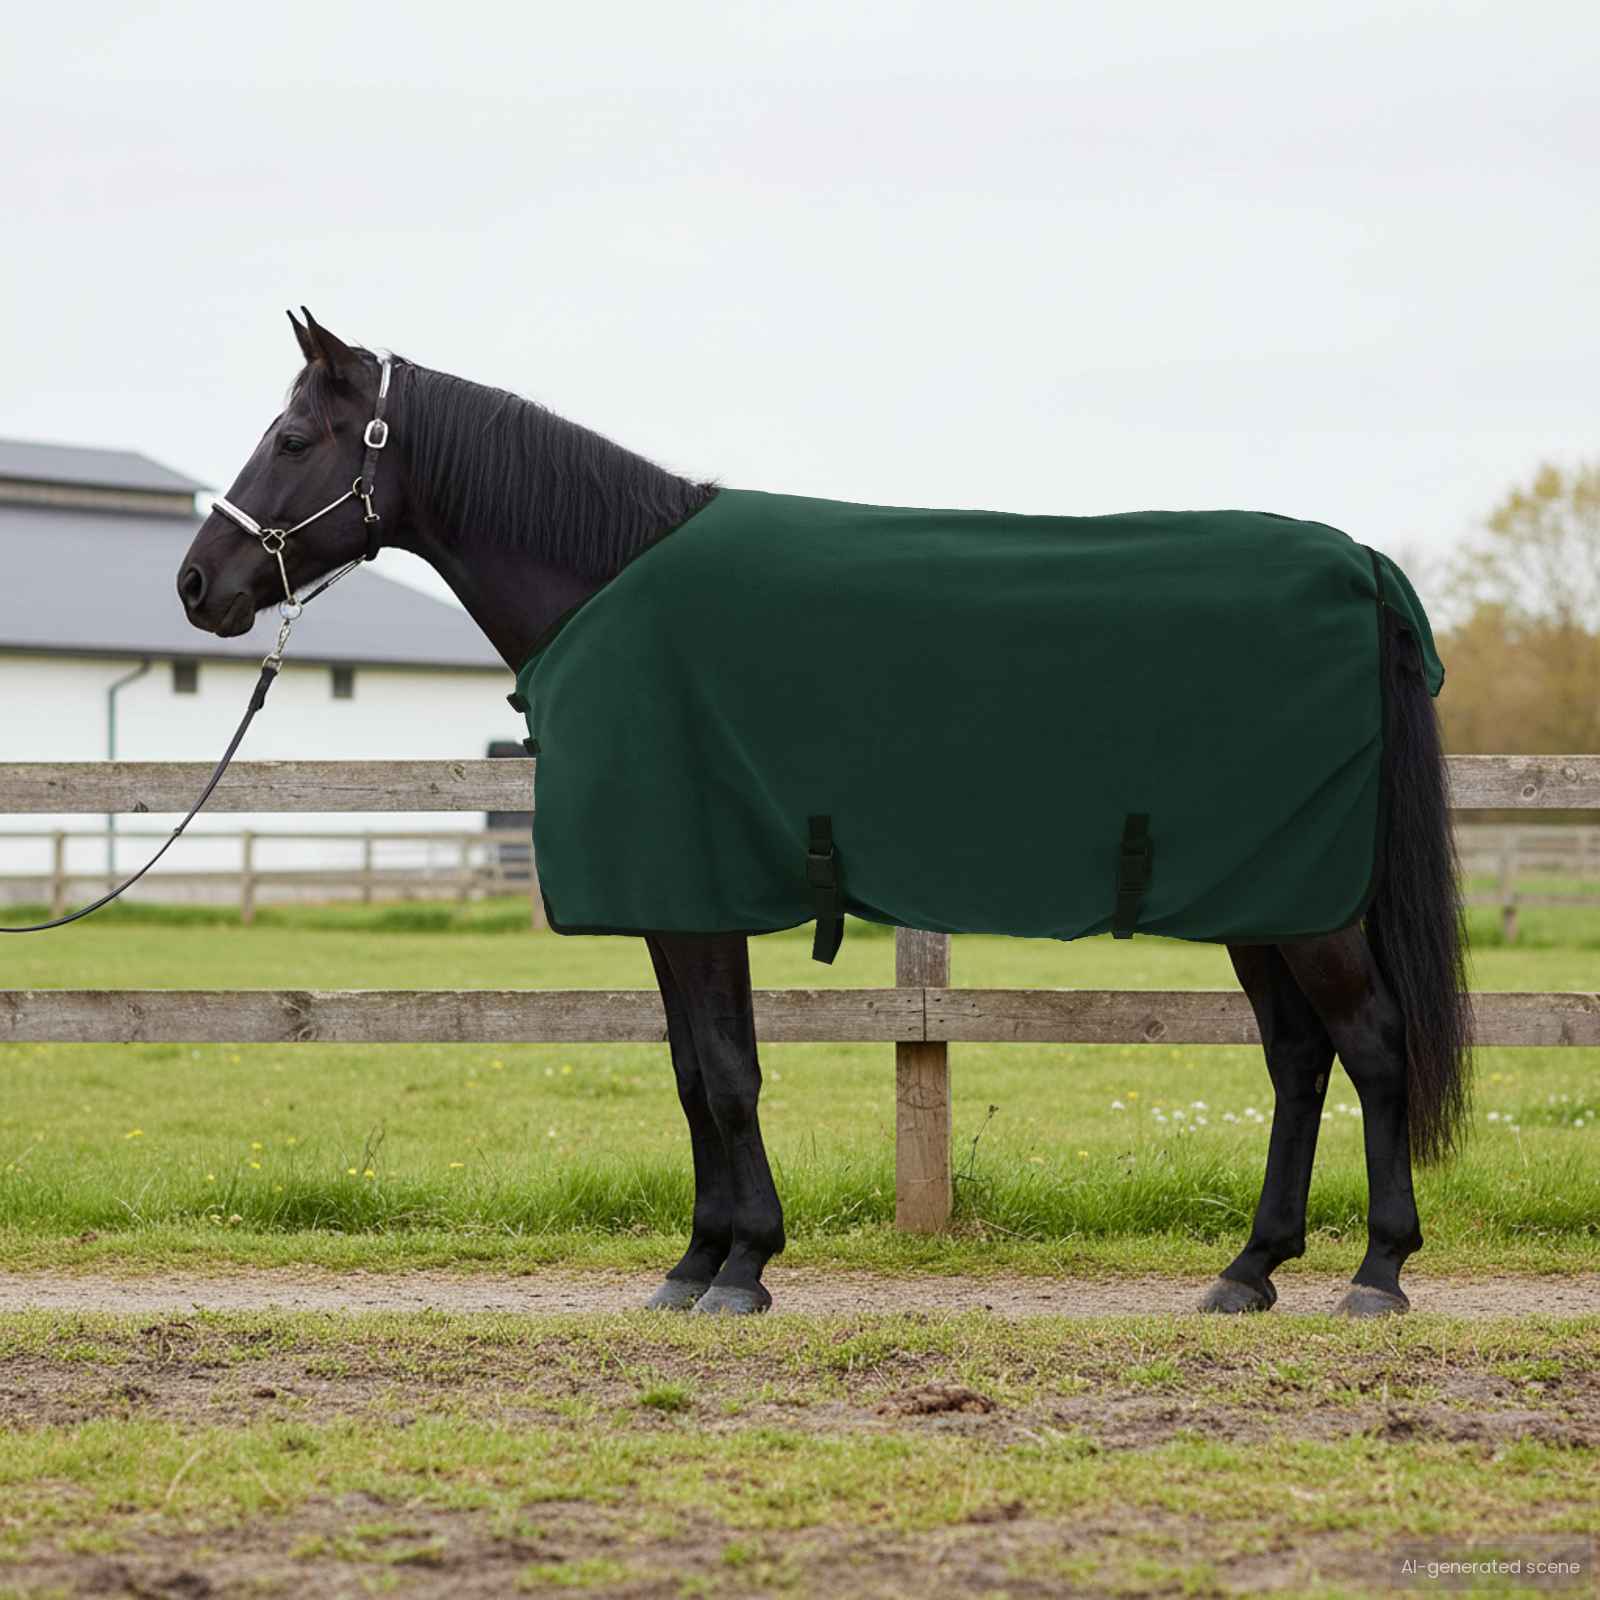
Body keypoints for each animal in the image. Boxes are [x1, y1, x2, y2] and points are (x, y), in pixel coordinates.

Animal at [176, 309, 1471, 1318]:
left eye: (292, 438)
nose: (197, 585)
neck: (609, 581)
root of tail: (1358, 564)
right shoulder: (680, 903)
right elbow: (696, 1071)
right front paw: (700, 1259)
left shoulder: (693, 897)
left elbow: (725, 1074)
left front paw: (741, 1266)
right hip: (1263, 894)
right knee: (1298, 1057)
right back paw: (1249, 1268)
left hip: (1306, 906)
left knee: (1372, 1044)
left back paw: (1377, 1271)